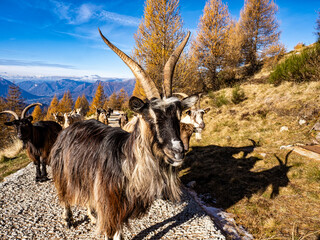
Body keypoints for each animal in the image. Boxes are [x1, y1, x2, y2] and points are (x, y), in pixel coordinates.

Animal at [49, 29, 198, 239]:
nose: (177, 151)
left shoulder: (118, 207)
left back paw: (92, 216)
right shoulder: (110, 204)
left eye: (178, 116)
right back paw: (68, 219)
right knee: (64, 195)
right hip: (63, 171)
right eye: (149, 117)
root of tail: (68, 128)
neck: (126, 162)